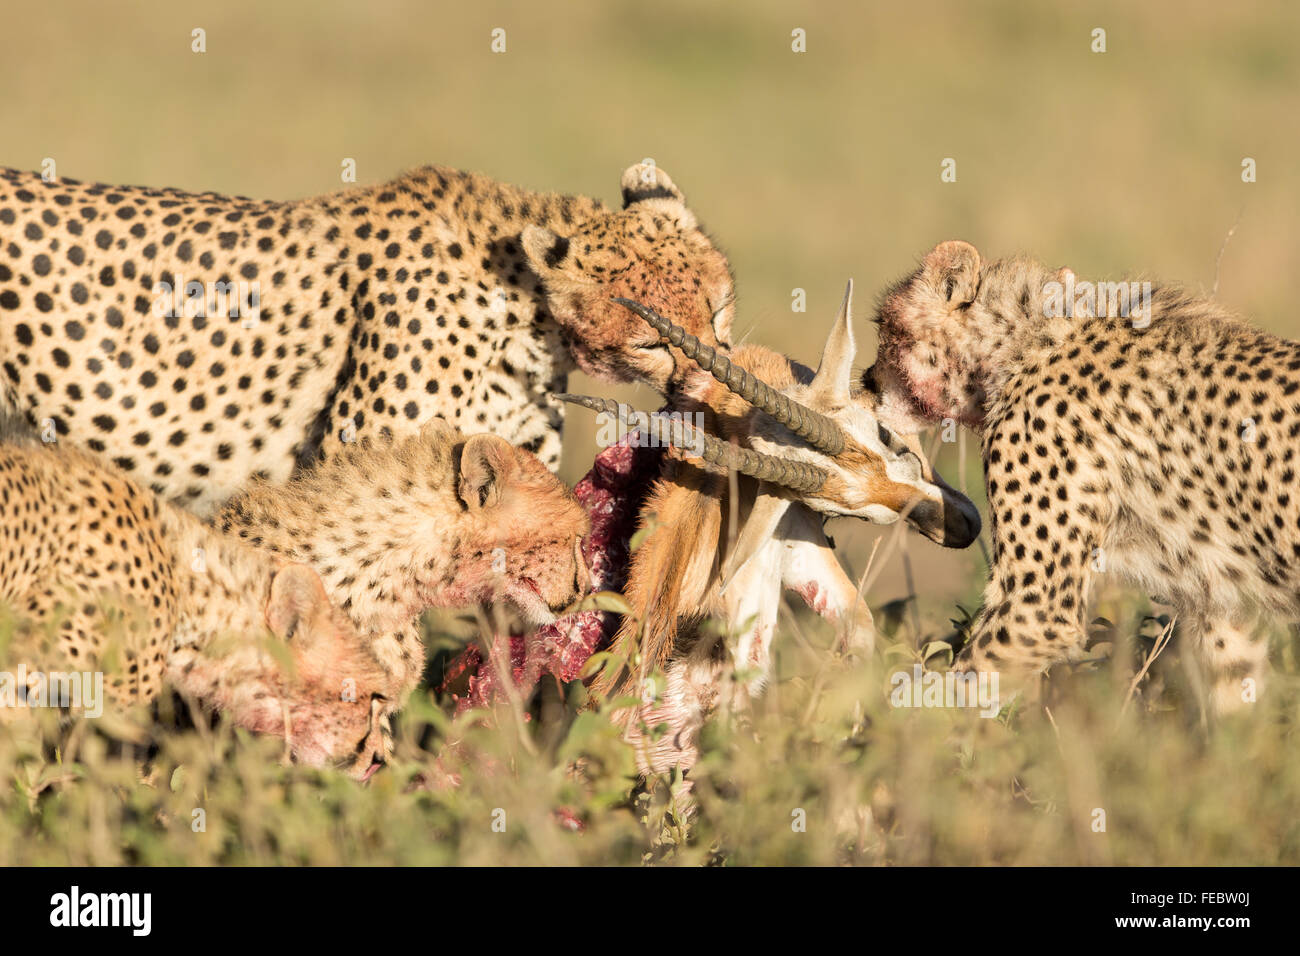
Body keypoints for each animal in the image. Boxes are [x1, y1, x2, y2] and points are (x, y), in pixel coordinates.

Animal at [863, 240, 1300, 717]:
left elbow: (957, 689)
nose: (865, 382)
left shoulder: (1036, 610)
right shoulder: (1223, 599)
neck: (1024, 343)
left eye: (886, 331)